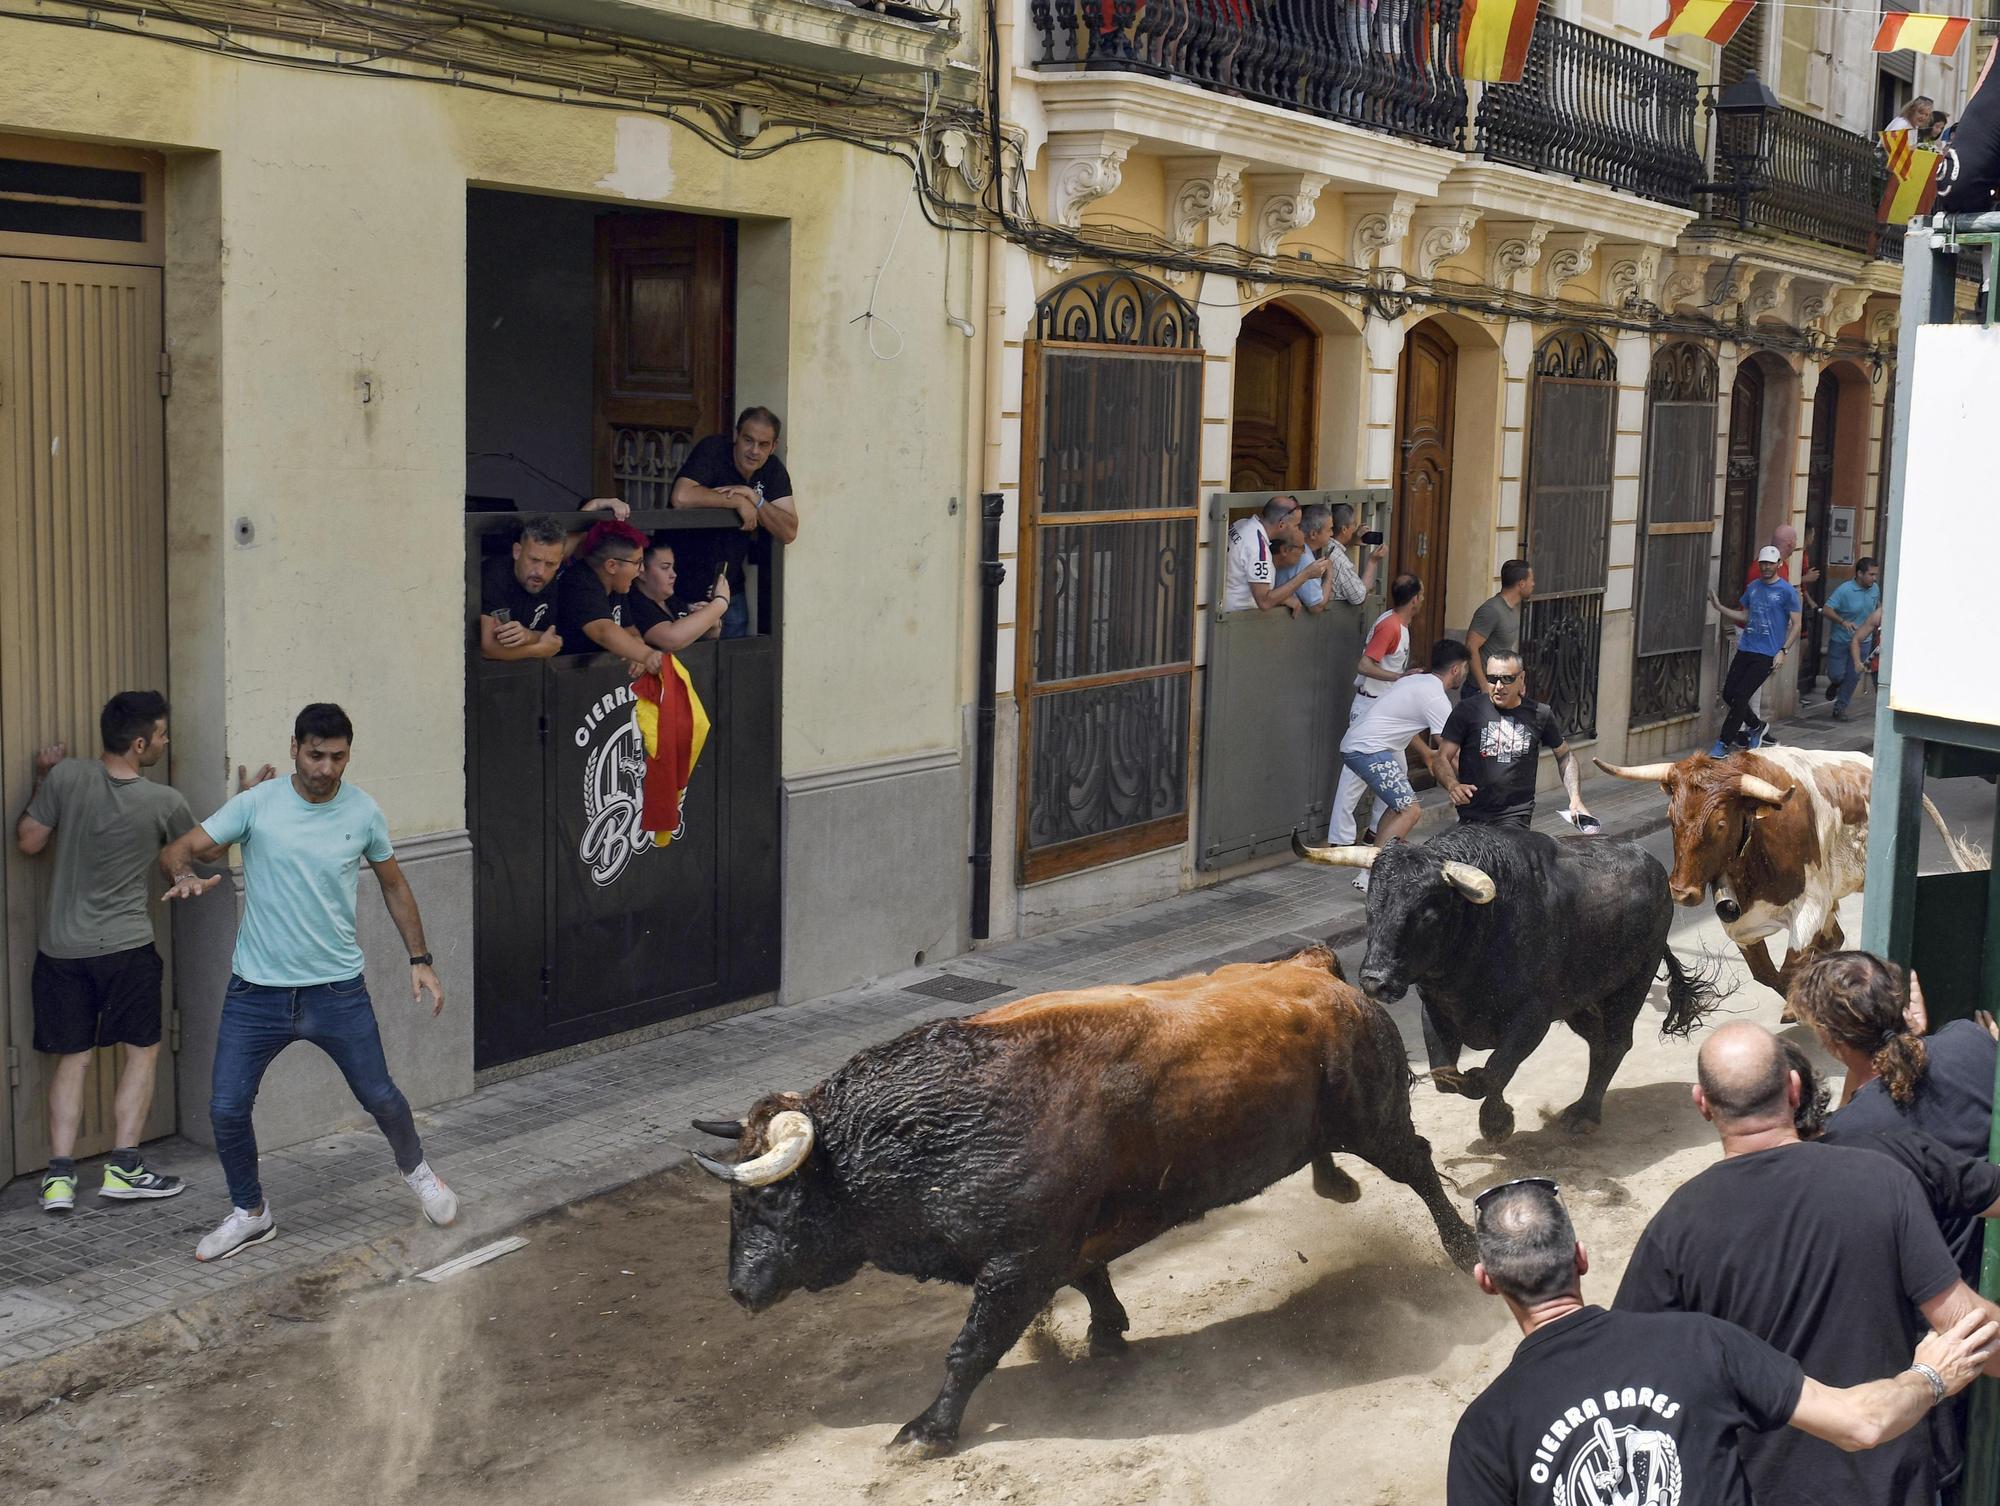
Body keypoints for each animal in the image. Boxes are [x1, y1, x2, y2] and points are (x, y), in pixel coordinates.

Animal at [696, 952, 1480, 1456]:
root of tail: (1317, 969)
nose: (739, 1292)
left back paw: (1462, 1245)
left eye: (776, 1200)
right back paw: (1336, 1185)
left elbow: (970, 1348)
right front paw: (1107, 1333)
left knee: (1419, 1165)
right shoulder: (1066, 1241)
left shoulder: (1018, 1263)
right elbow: (1090, 1278)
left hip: (1374, 1120)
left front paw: (926, 1430)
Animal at [1296, 824, 1736, 1136]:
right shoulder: (1435, 1010)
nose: (1375, 981)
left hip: (1632, 982)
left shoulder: (1531, 1019)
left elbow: (1493, 1071)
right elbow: (1445, 1077)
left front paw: (1495, 1123)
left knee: (1615, 1042)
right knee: (1598, 1042)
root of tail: (1657, 870)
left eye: (1427, 913)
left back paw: (1585, 1114)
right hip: (1581, 1001)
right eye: (1372, 906)